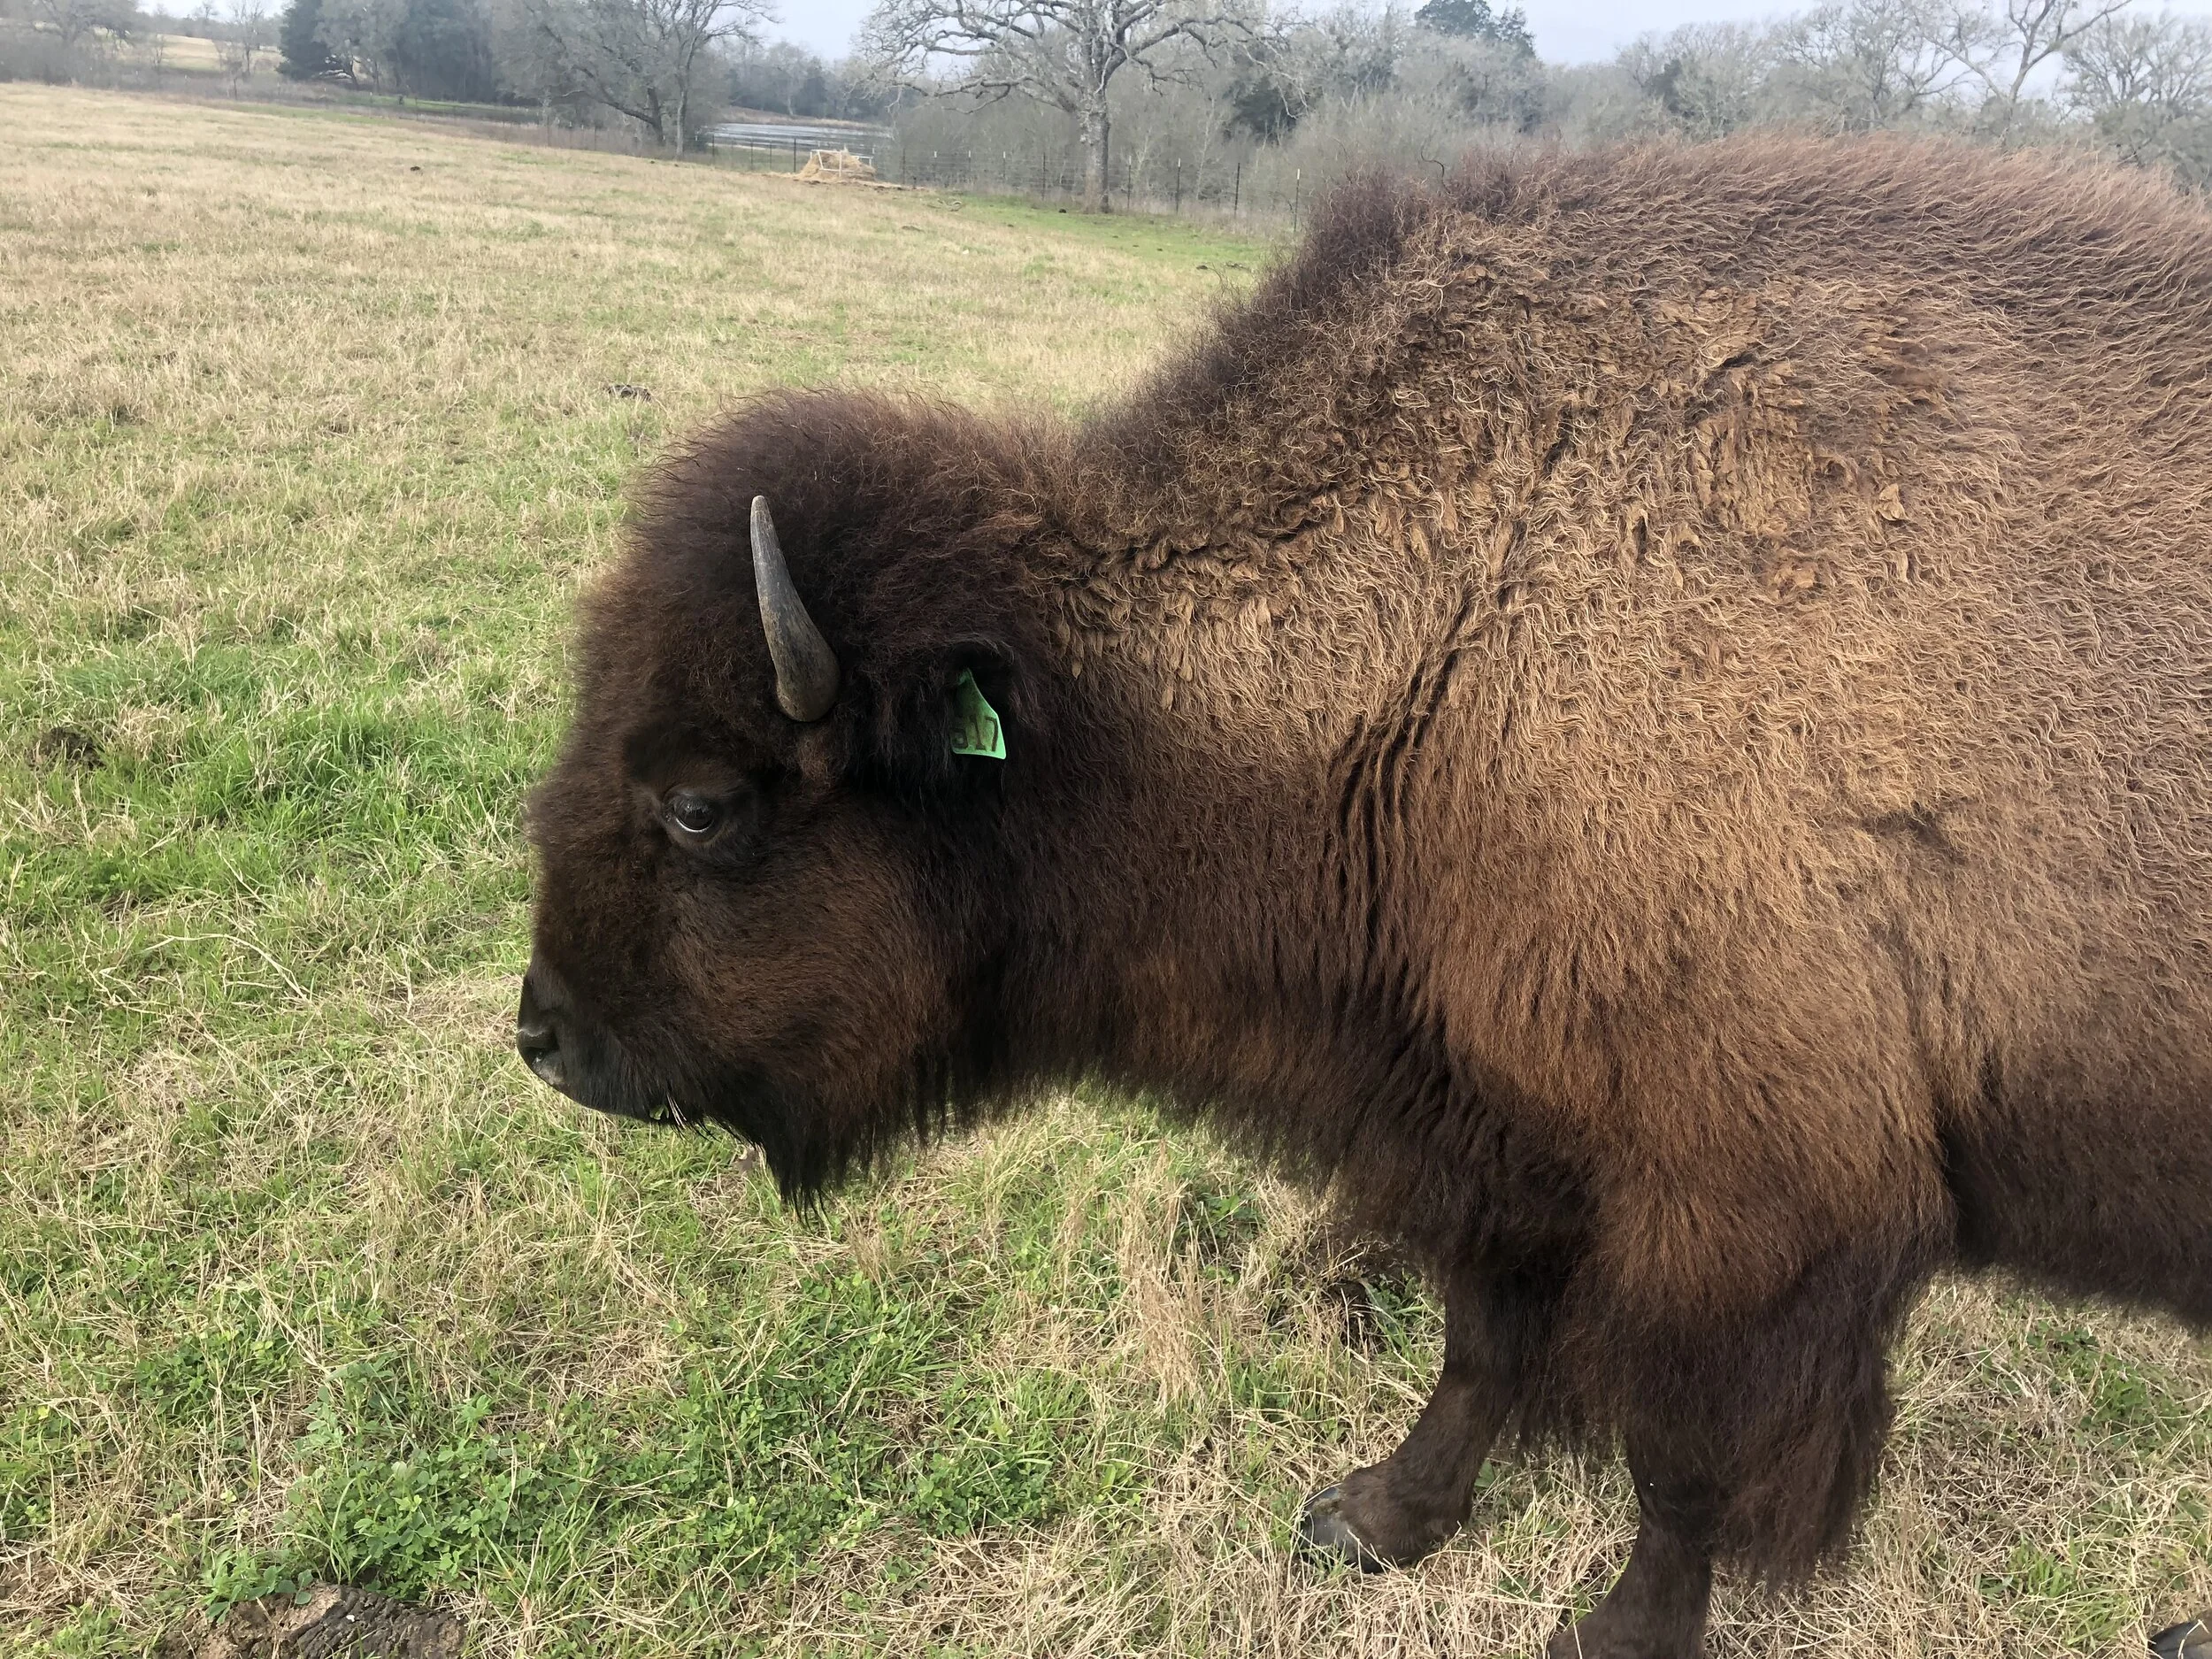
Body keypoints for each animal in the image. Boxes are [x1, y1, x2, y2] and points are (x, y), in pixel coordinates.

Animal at [517, 137, 2212, 1656]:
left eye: (702, 803)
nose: (545, 1040)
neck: (1462, 625)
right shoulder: (1490, 1129)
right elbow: (1480, 1346)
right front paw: (1374, 1520)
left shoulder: (1747, 1211)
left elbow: (1682, 1463)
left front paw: (1613, 1635)